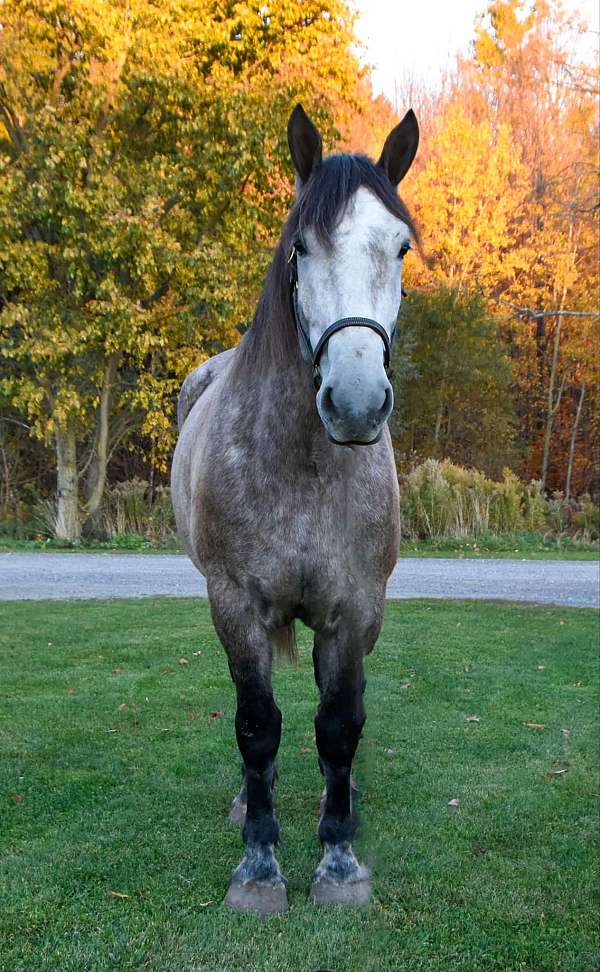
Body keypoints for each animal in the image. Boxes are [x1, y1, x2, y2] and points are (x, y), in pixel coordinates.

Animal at [171, 102, 420, 916]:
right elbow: (257, 725)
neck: (306, 468)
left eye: (401, 247)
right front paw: (259, 864)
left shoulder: (354, 609)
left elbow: (339, 724)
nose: (356, 402)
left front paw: (339, 858)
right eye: (301, 247)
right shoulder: (236, 606)